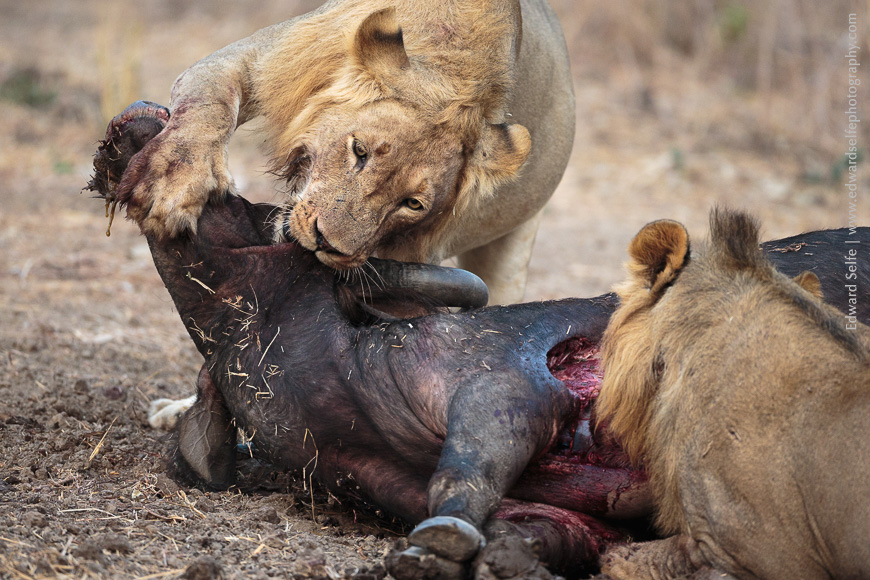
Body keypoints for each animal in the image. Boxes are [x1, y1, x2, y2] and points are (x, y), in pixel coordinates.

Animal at [115, 0, 575, 304]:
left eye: (413, 204)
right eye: (359, 150)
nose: (326, 244)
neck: (453, 61)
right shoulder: (257, 58)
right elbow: (208, 104)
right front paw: (172, 181)